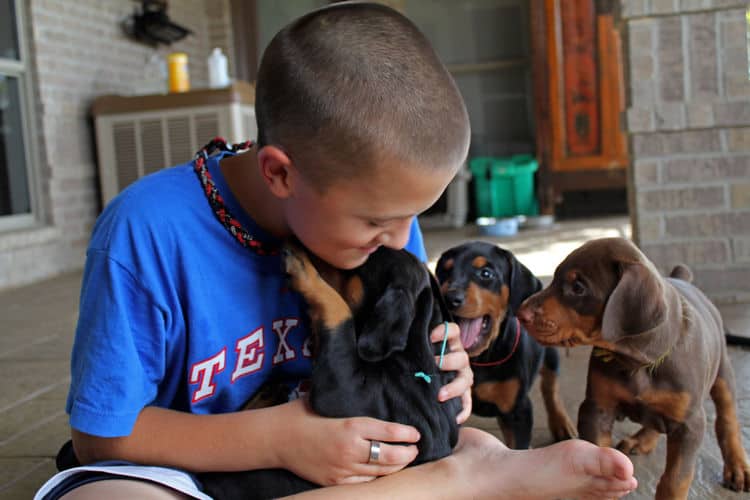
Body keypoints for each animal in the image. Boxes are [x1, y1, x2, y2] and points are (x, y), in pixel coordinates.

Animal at [203, 244, 468, 498]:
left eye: (354, 265)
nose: (305, 245)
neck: (413, 350)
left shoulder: (344, 393)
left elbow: (340, 310)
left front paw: (301, 266)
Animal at [434, 242, 576, 450]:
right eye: (444, 272)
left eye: (486, 273)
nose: (448, 298)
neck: (480, 359)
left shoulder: (519, 411)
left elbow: (518, 447)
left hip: (549, 350)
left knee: (551, 385)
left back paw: (562, 423)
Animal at [516, 238, 750, 500]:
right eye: (555, 277)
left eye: (578, 287)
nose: (521, 313)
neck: (637, 363)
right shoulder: (597, 407)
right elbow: (597, 456)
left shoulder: (689, 424)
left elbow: (675, 479)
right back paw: (642, 440)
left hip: (722, 373)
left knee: (727, 419)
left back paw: (737, 467)